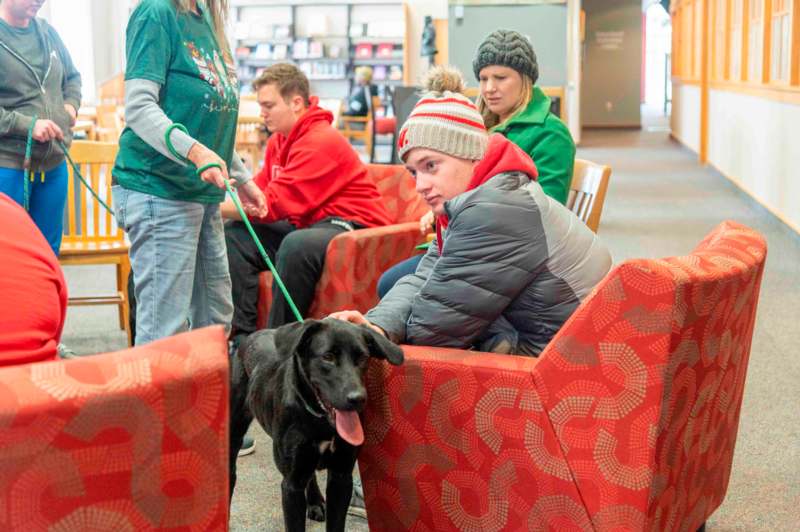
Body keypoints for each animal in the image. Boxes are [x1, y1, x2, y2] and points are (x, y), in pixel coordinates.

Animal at [231, 318, 406, 528]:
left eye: (363, 357)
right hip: (235, 430)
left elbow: (336, 523)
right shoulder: (292, 485)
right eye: (328, 357)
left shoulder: (341, 476)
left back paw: (315, 502)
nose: (358, 399)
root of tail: (253, 335)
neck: (321, 422)